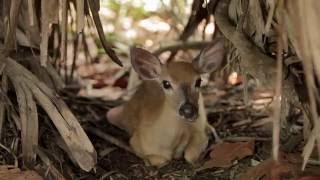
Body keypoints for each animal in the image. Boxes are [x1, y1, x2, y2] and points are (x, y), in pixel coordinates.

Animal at [106, 39, 224, 167]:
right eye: (166, 83)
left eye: (198, 81)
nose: (188, 110)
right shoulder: (135, 140)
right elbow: (160, 160)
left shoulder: (198, 131)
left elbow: (190, 155)